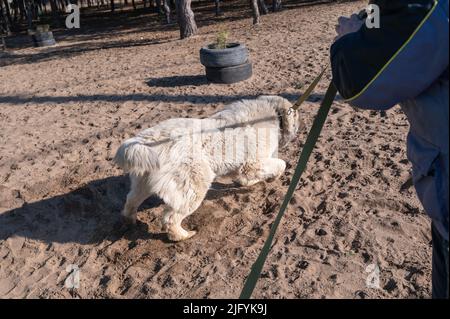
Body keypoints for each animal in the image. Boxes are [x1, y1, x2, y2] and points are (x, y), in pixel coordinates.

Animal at [114, 96, 300, 241]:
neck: (274, 113)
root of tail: (146, 140)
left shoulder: (243, 167)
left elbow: (245, 178)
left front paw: (248, 183)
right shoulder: (253, 164)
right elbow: (280, 164)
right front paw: (273, 177)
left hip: (142, 183)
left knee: (131, 200)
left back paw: (129, 220)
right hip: (193, 188)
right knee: (170, 218)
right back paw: (182, 235)